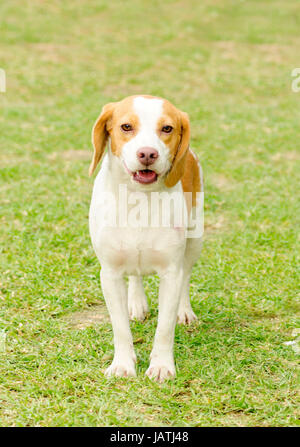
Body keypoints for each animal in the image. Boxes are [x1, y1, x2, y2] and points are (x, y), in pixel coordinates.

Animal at [88, 94, 203, 382]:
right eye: (126, 127)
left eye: (167, 128)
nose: (148, 153)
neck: (138, 199)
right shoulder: (110, 274)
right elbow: (120, 327)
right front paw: (122, 365)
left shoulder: (170, 273)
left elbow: (164, 327)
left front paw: (161, 366)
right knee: (135, 275)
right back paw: (136, 303)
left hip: (195, 240)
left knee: (186, 276)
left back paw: (184, 311)